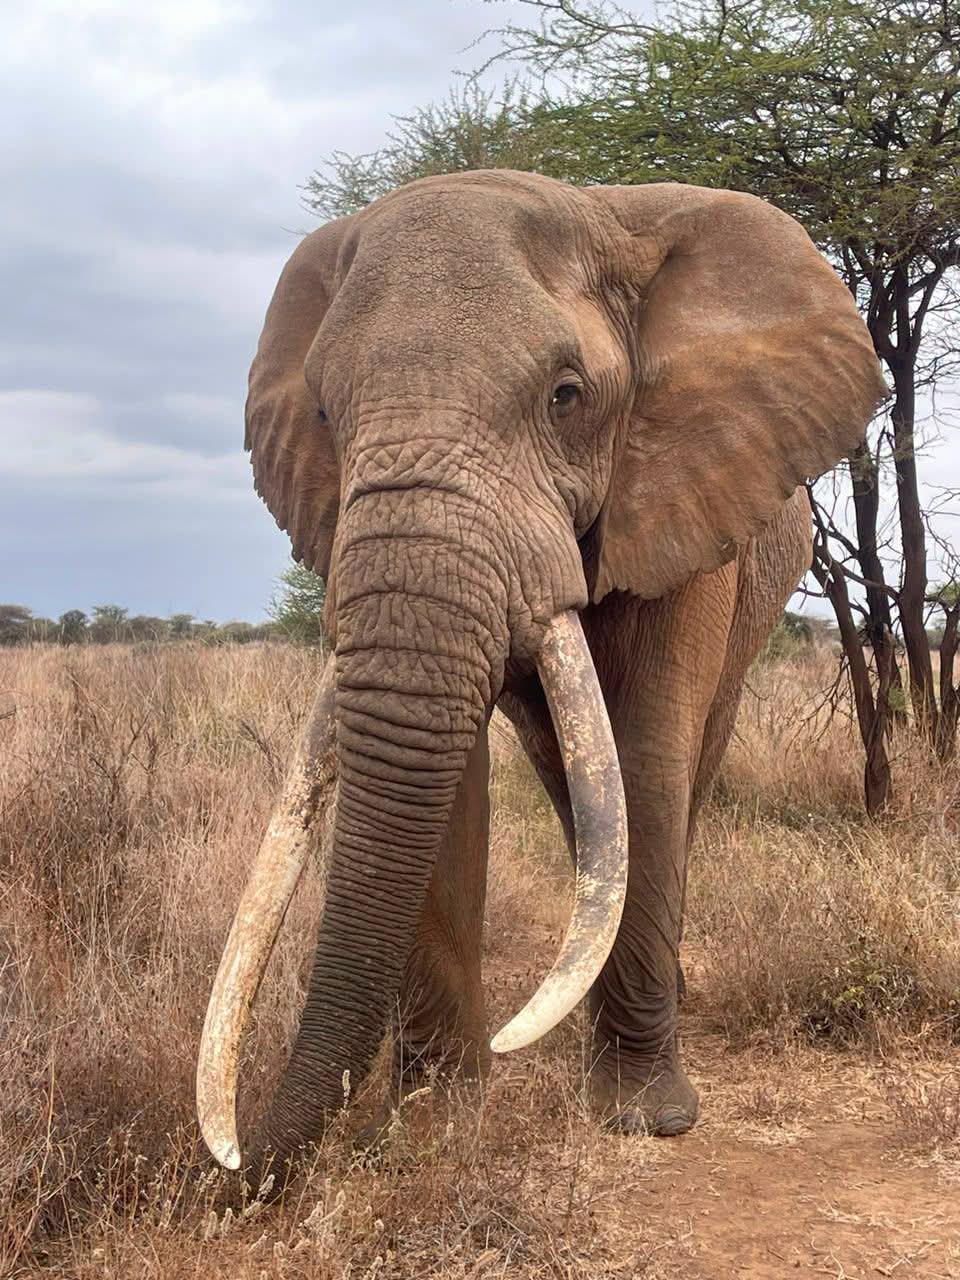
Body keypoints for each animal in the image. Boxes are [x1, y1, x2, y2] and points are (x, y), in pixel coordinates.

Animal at [195, 170, 885, 1175]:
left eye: (568, 395)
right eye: (323, 413)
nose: (240, 1169)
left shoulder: (688, 491)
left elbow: (647, 749)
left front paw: (645, 1119)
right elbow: (450, 774)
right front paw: (436, 1129)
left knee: (681, 763)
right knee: (570, 781)